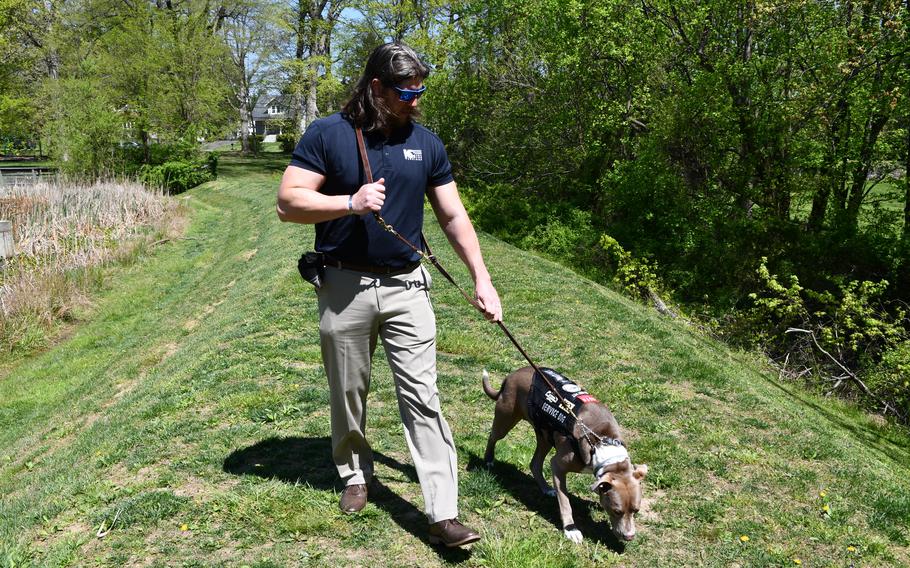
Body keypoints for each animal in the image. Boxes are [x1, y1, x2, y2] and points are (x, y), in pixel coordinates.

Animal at [484, 366, 648, 544]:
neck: (602, 443)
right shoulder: (558, 465)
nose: (629, 536)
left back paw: (546, 488)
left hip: (545, 434)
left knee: (535, 463)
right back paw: (488, 461)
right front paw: (571, 529)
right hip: (506, 417)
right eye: (616, 511)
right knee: (492, 436)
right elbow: (565, 502)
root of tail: (512, 374)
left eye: (636, 510)